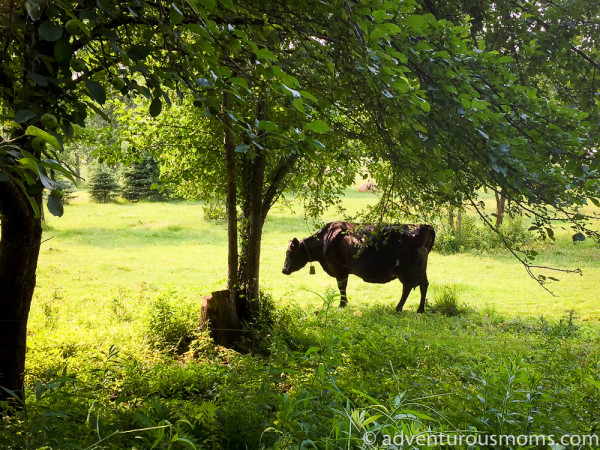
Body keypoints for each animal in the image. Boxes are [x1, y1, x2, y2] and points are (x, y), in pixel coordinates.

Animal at [282, 221, 436, 312]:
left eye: (289, 253)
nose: (284, 270)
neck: (325, 239)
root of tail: (424, 226)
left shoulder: (339, 268)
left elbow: (341, 286)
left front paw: (342, 304)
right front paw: (344, 303)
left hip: (406, 269)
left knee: (408, 286)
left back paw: (398, 308)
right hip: (422, 268)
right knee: (424, 284)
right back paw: (420, 309)